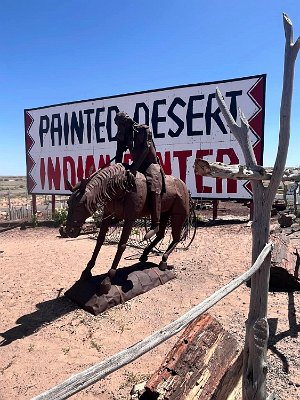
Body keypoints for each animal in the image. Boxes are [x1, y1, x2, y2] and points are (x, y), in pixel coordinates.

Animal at [65, 163, 190, 294]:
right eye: (68, 202)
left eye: (80, 205)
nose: (70, 231)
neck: (120, 186)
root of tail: (183, 185)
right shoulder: (106, 216)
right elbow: (99, 241)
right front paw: (86, 271)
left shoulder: (130, 219)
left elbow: (121, 245)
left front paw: (107, 281)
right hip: (165, 213)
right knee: (160, 234)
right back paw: (145, 254)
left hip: (178, 215)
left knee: (176, 238)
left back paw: (163, 260)